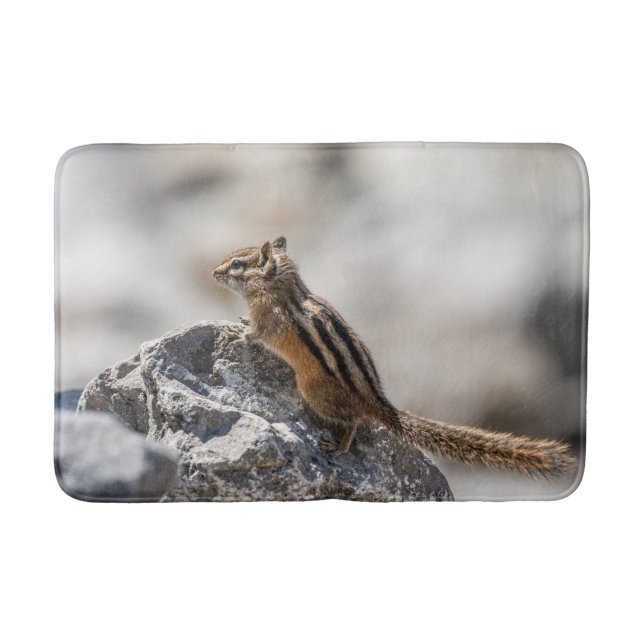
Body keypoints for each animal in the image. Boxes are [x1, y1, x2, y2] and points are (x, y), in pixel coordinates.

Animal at [212, 236, 575, 477]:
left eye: (237, 264)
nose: (214, 273)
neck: (279, 288)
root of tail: (376, 400)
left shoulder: (270, 319)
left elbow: (258, 335)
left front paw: (237, 335)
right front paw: (239, 324)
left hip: (314, 393)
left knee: (353, 421)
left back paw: (338, 446)